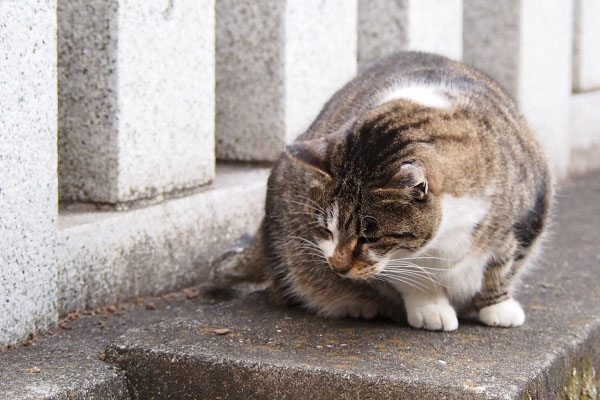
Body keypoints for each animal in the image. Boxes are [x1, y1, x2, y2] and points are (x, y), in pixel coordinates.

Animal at [211, 50, 552, 332]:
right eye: (326, 230)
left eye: (368, 237)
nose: (337, 267)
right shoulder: (401, 263)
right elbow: (413, 277)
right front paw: (431, 309)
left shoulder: (528, 215)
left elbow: (504, 264)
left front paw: (498, 307)